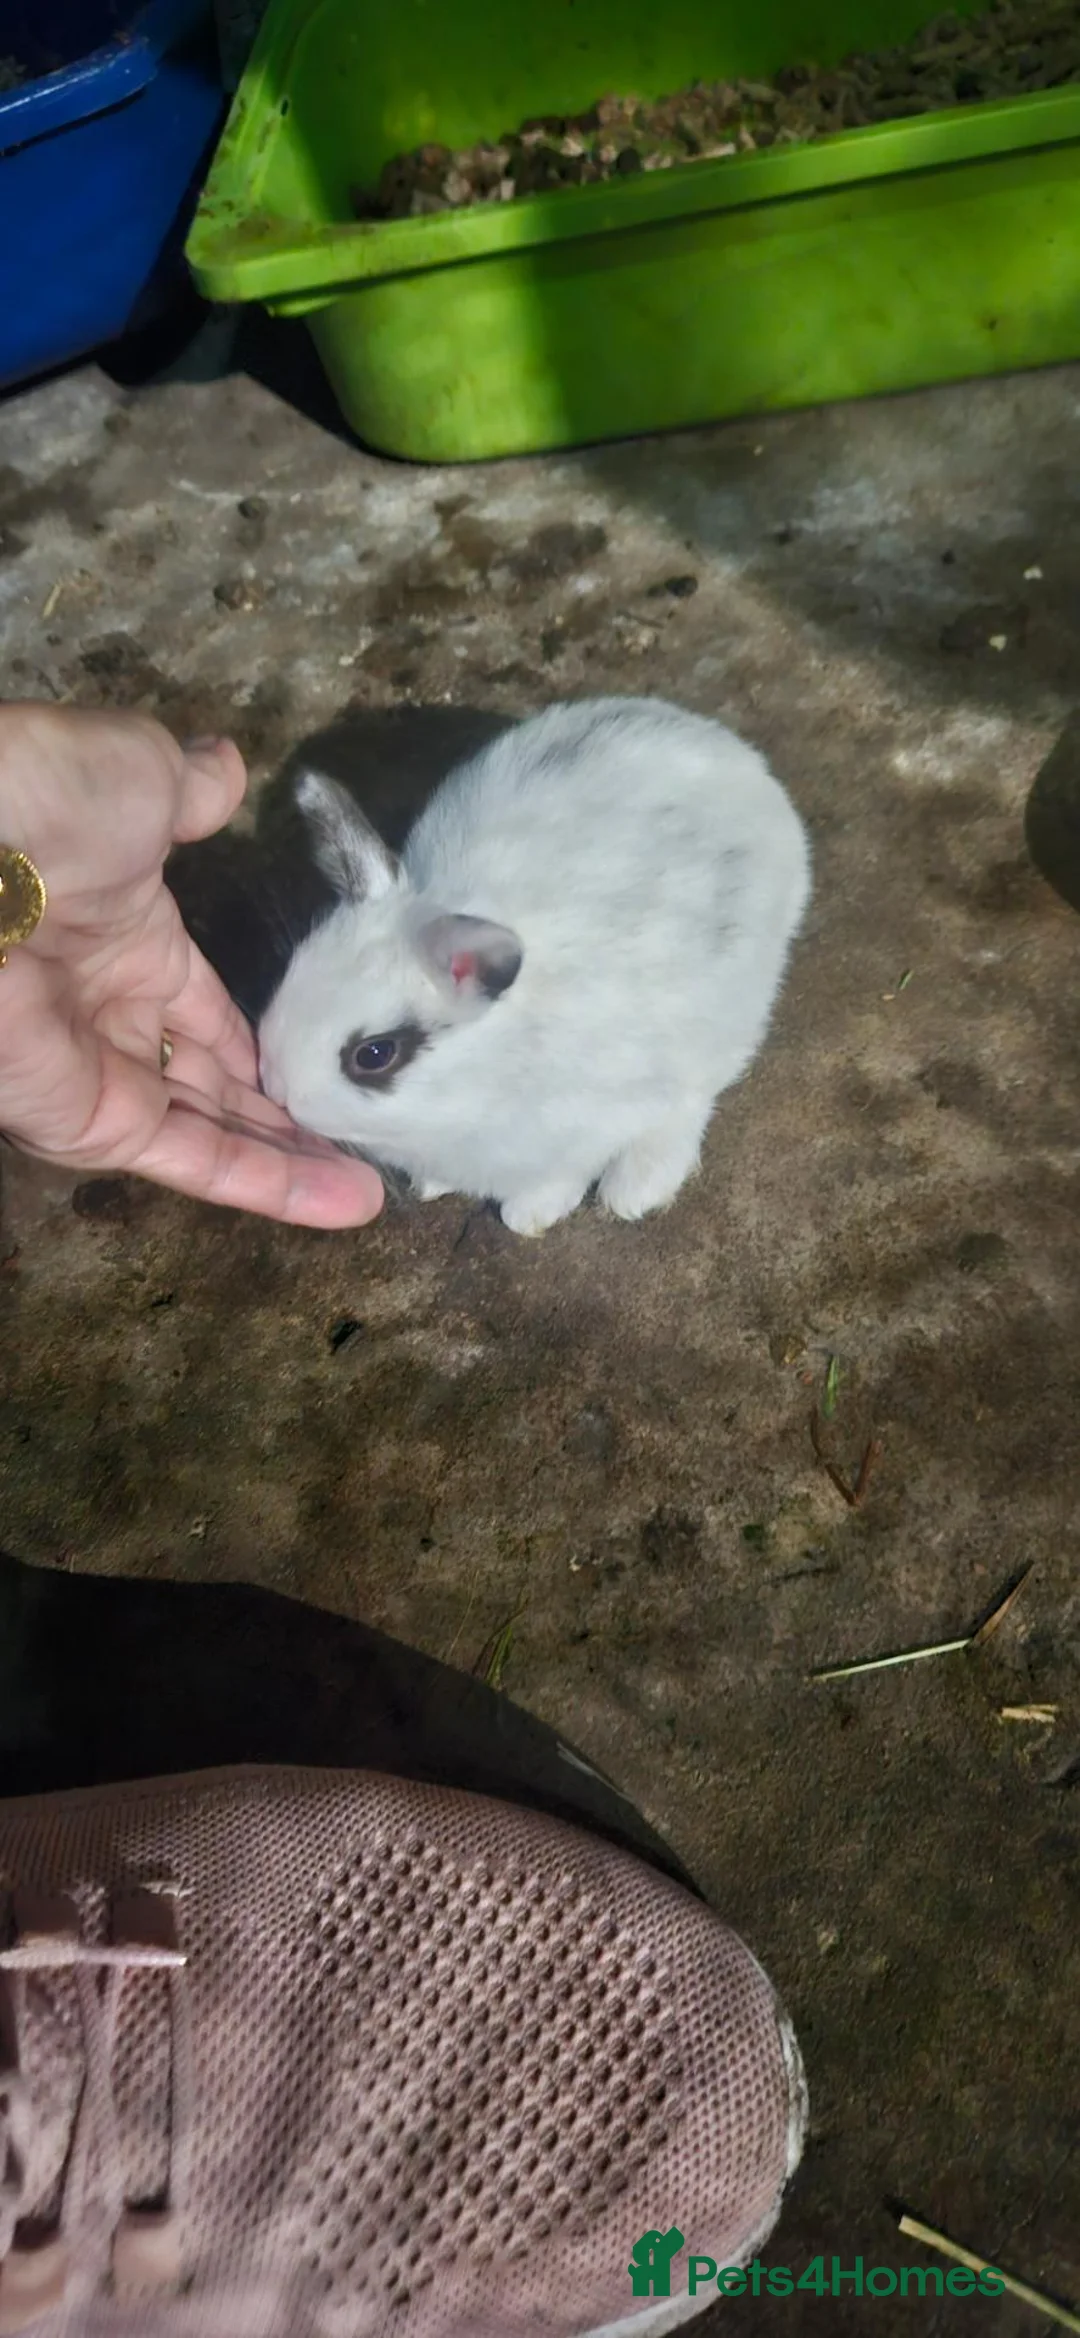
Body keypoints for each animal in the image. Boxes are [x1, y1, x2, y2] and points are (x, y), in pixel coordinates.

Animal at [257, 697, 811, 1237]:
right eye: (291, 973)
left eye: (373, 1054)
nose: (276, 1089)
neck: (494, 1063)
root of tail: (732, 753)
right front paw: (433, 1184)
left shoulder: (589, 1128)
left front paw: (529, 1217)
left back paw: (635, 1192)